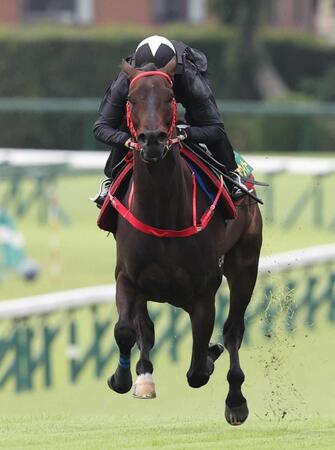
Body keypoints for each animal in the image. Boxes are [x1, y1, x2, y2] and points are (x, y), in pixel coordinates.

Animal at [106, 57, 264, 426]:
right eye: (131, 99)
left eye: (169, 97)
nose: (152, 139)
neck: (162, 211)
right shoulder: (128, 278)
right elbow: (128, 330)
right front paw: (127, 377)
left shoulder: (204, 291)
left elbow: (198, 370)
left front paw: (210, 358)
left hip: (245, 263)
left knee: (233, 331)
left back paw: (235, 400)